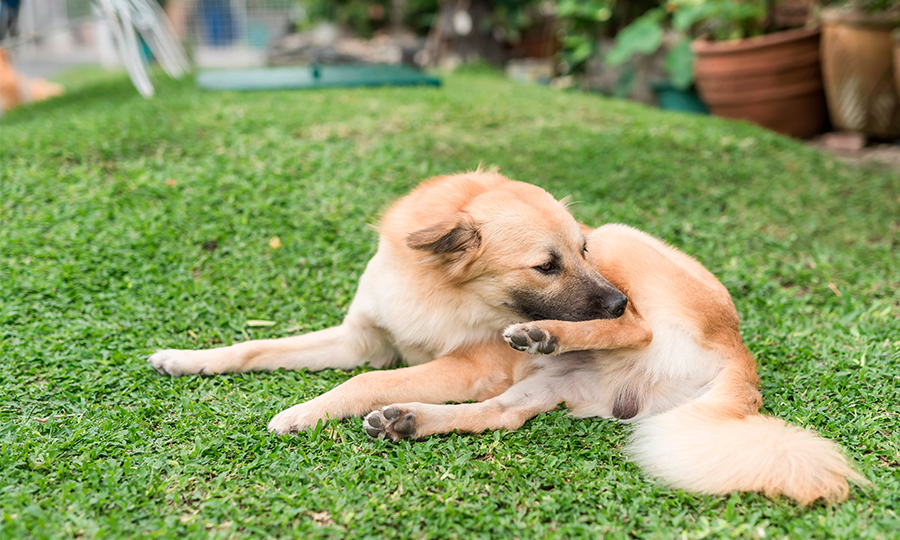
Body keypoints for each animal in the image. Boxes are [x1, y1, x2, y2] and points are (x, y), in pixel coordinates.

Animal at [151, 171, 860, 504]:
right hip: (548, 388)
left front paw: (303, 412)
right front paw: (187, 358)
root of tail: (740, 358)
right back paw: (408, 420)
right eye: (546, 266)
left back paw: (543, 333)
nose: (613, 297)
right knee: (500, 418)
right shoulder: (363, 338)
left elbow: (365, 379)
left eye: (579, 251)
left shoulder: (467, 364)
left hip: (623, 245)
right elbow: (256, 348)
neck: (439, 289)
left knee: (634, 330)